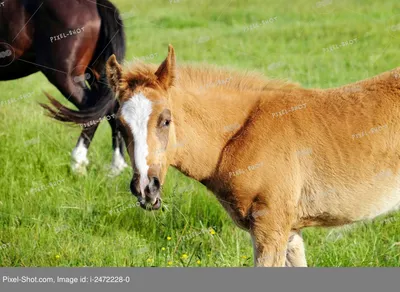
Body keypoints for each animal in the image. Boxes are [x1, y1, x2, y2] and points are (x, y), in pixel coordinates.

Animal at [0, 0, 127, 173]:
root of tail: (95, 3)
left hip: (66, 78)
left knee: (91, 112)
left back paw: (77, 163)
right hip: (97, 73)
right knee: (111, 109)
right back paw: (116, 168)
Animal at [42, 46, 400, 266]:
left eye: (165, 120)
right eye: (119, 123)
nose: (146, 187)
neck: (243, 133)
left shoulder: (270, 228)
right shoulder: (291, 232)